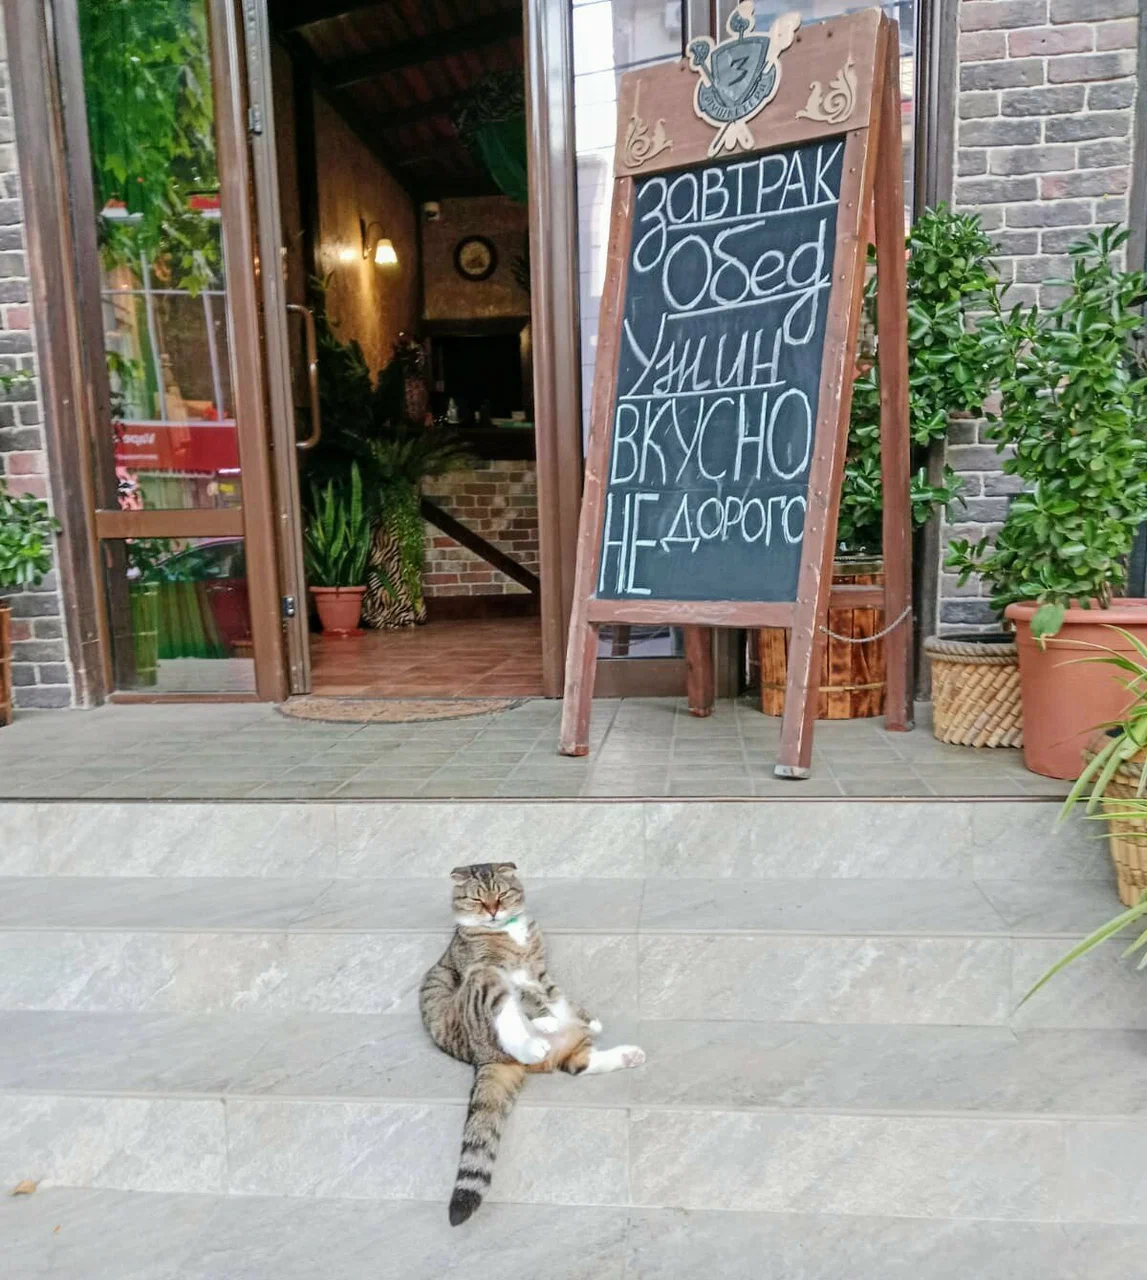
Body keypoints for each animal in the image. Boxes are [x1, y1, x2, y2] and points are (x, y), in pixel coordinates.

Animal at [419, 861, 646, 1225]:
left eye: (501, 894)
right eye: (478, 899)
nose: (493, 911)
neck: (508, 932)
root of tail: (483, 1057)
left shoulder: (540, 972)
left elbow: (556, 993)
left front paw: (586, 1017)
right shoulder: (491, 968)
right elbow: (529, 997)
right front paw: (545, 1016)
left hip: (568, 1045)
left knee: (579, 1063)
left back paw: (626, 1054)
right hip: (483, 991)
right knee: (510, 1020)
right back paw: (536, 1040)